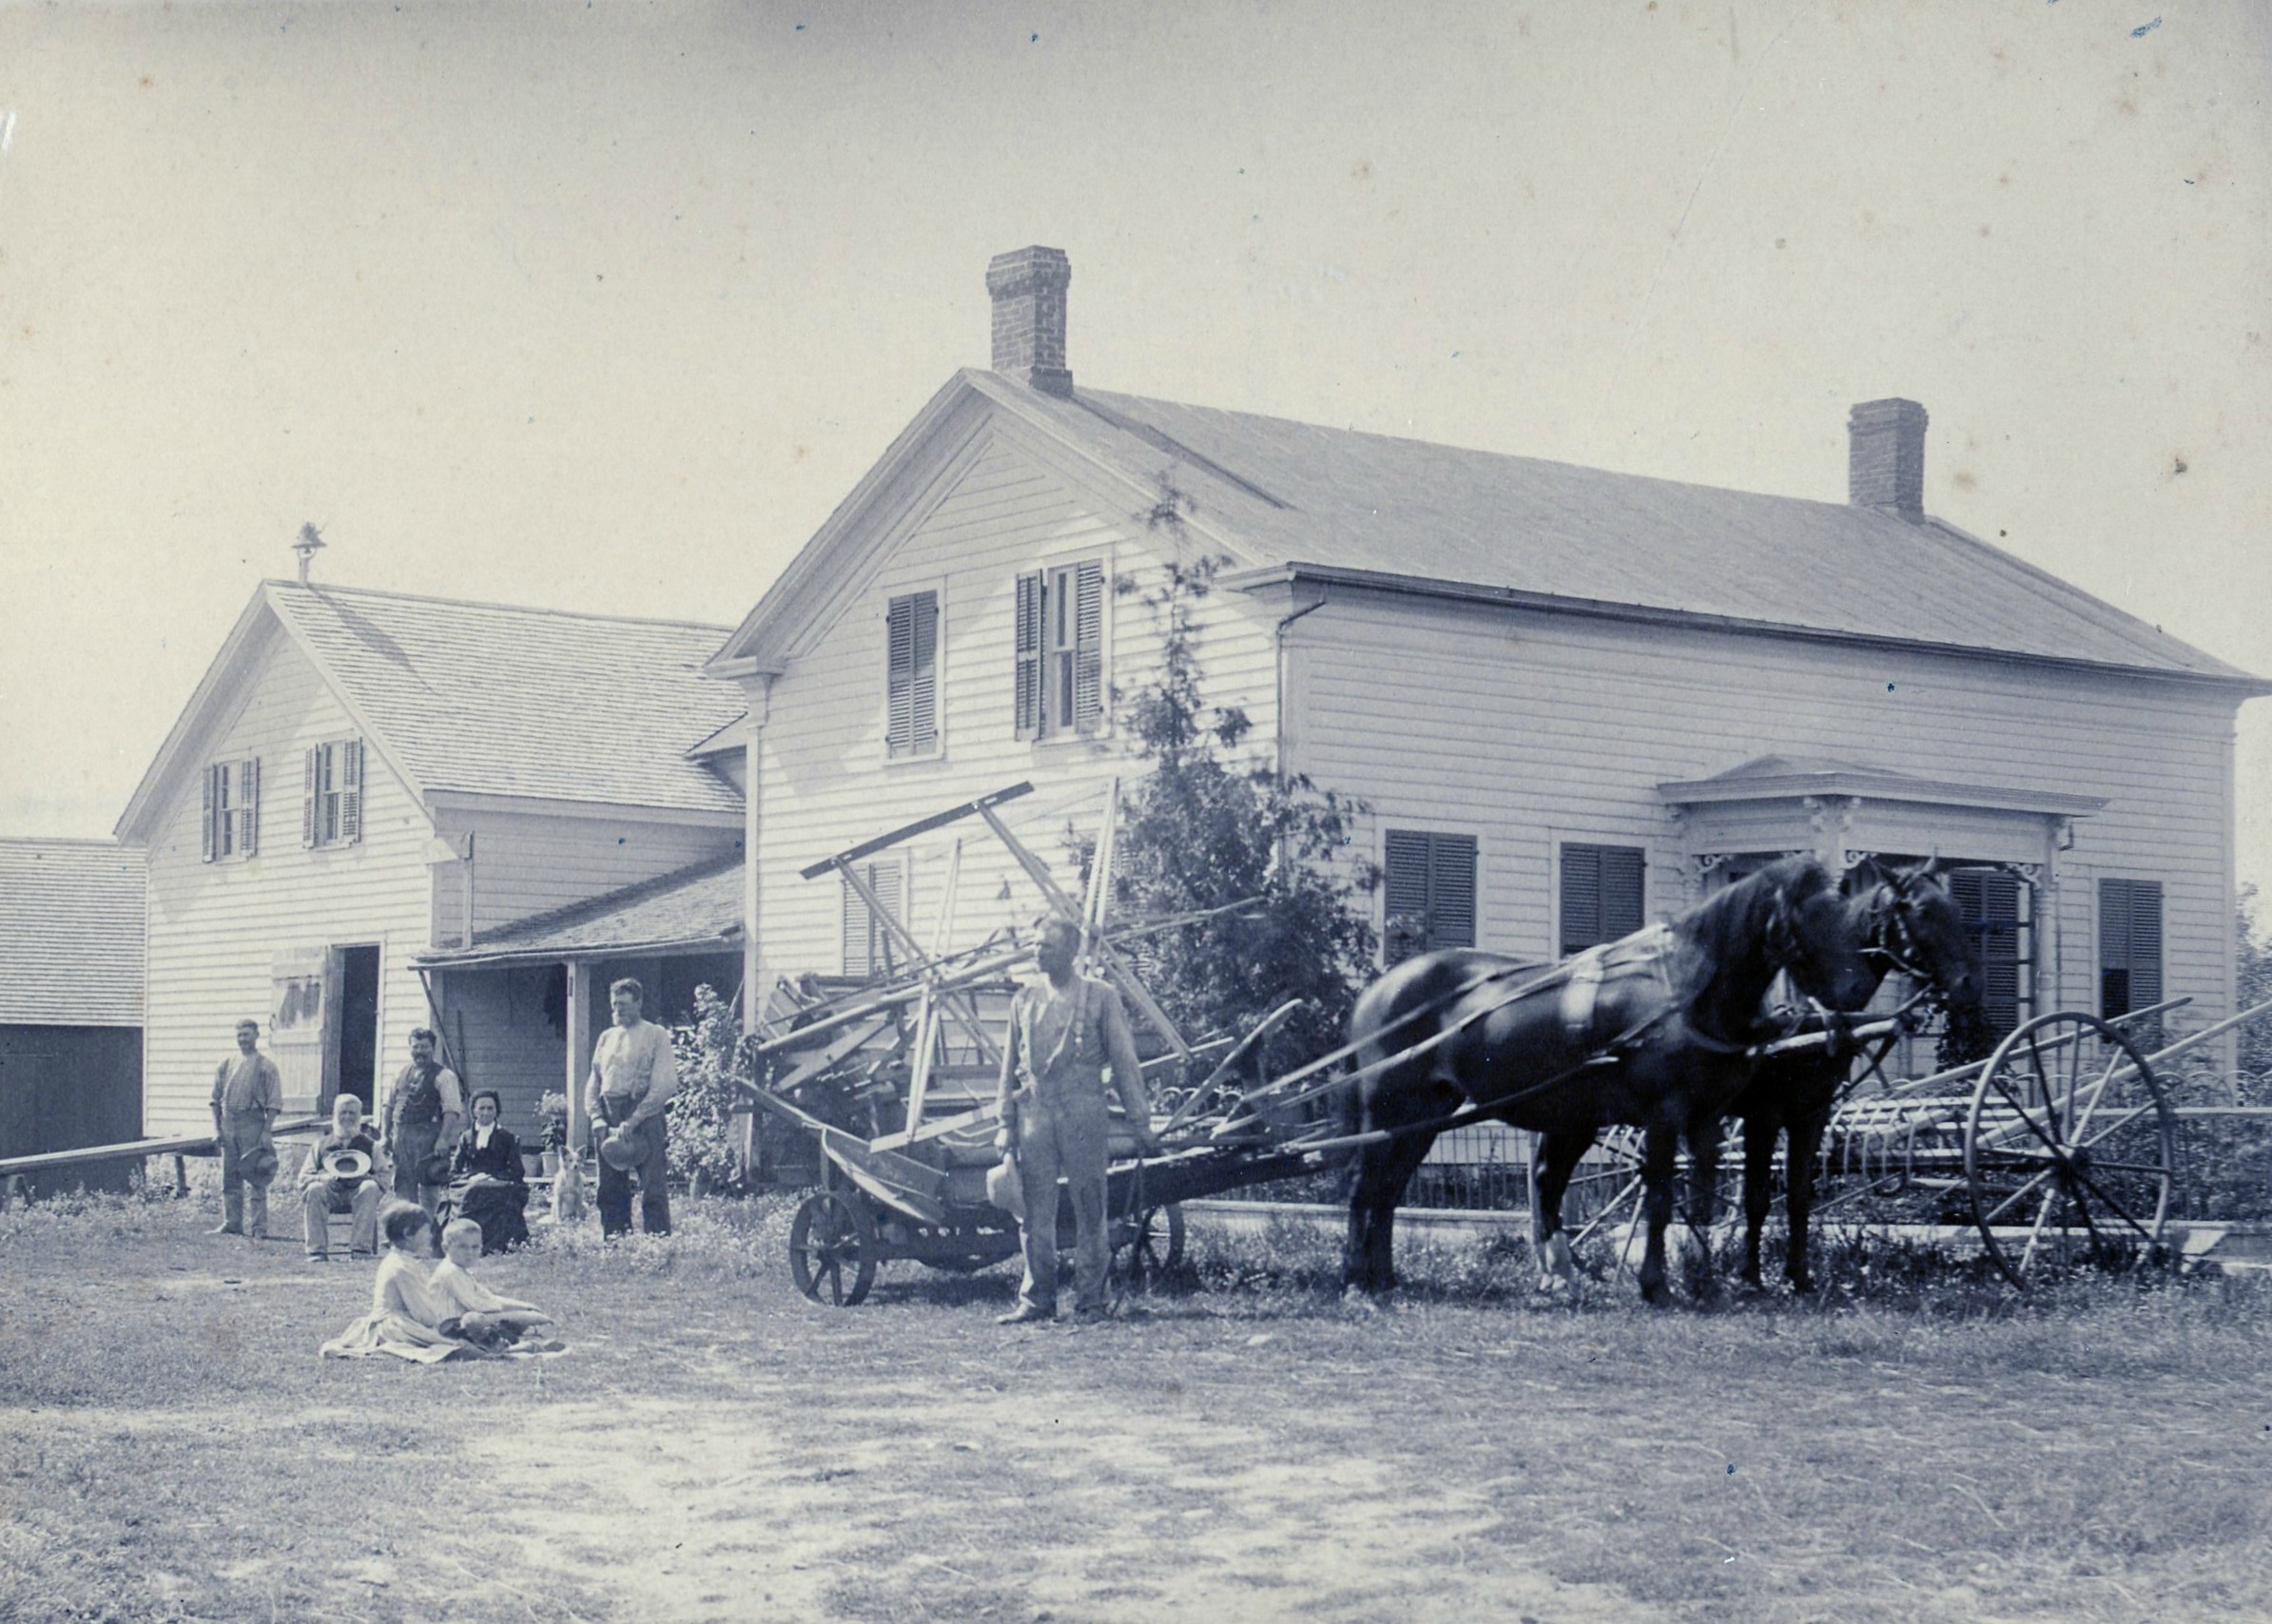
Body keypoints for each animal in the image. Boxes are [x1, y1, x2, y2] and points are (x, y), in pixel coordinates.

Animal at [1335, 858, 1872, 1299]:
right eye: (1806, 919)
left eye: (1845, 916)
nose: (1855, 991)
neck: (1685, 994)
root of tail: (1379, 989)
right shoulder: (1665, 1116)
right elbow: (1660, 1199)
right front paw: (1656, 1285)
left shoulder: (1707, 1119)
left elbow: (1700, 1200)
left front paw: (1704, 1282)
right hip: (1388, 1109)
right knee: (1364, 1188)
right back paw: (1355, 1280)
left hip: (1425, 1117)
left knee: (1389, 1191)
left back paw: (1384, 1278)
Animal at [1726, 862, 1981, 1299]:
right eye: (1923, 911)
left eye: (1958, 909)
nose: (1968, 985)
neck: (1808, 1009)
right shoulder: (1764, 1116)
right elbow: (1757, 1199)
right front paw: (1750, 1276)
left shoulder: (1810, 1113)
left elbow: (1798, 1195)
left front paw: (1800, 1276)